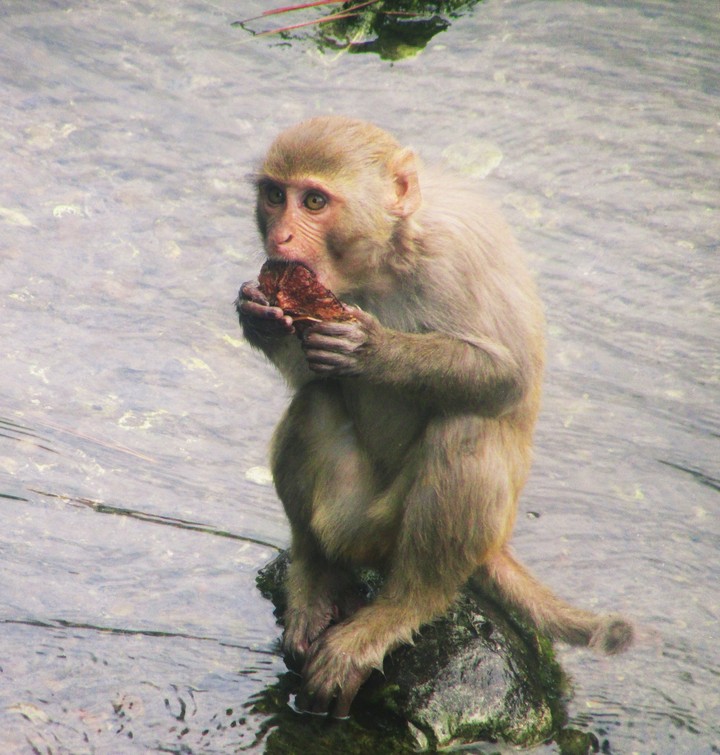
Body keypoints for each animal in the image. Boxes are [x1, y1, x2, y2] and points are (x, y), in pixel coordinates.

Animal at [236, 115, 633, 718]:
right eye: (275, 196)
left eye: (314, 201)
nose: (279, 238)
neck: (387, 255)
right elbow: (311, 374)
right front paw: (259, 316)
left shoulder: (456, 251)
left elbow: (509, 376)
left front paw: (370, 349)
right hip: (352, 520)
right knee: (315, 402)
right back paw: (317, 572)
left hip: (404, 531)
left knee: (467, 429)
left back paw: (403, 608)